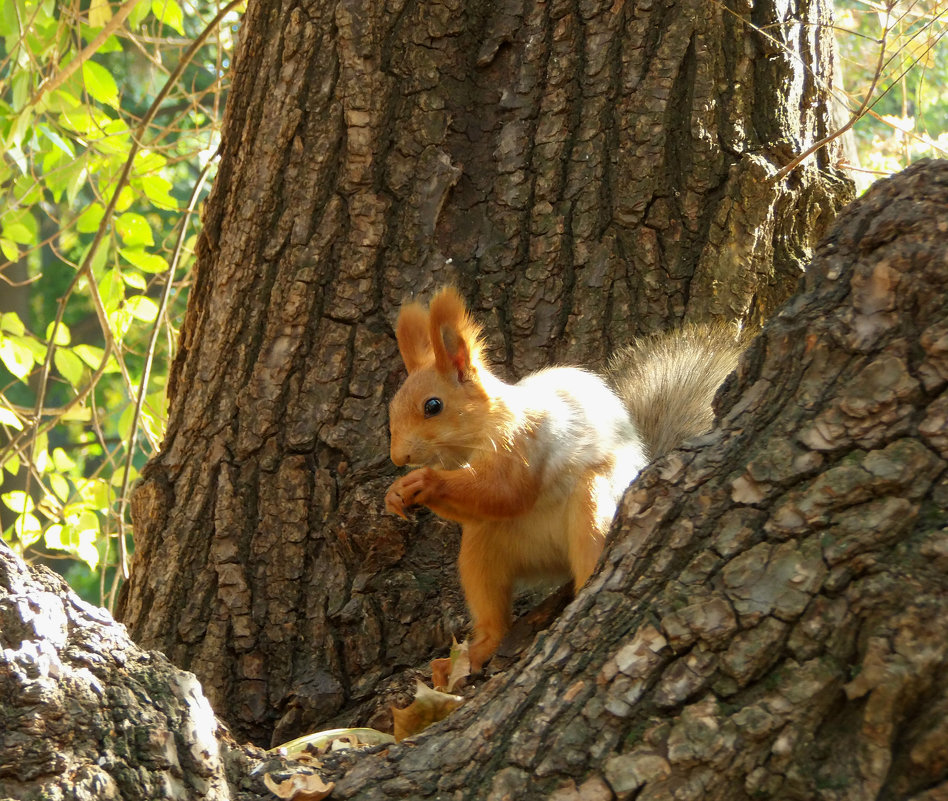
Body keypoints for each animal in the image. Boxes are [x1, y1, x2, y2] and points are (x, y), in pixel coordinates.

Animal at [386, 284, 740, 680]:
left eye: (433, 406)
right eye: (392, 408)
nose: (398, 458)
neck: (488, 425)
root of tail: (554, 558)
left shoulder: (526, 442)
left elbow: (505, 493)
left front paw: (425, 481)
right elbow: (484, 504)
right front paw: (396, 494)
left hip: (593, 502)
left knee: (589, 553)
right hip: (482, 547)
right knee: (491, 608)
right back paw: (473, 653)